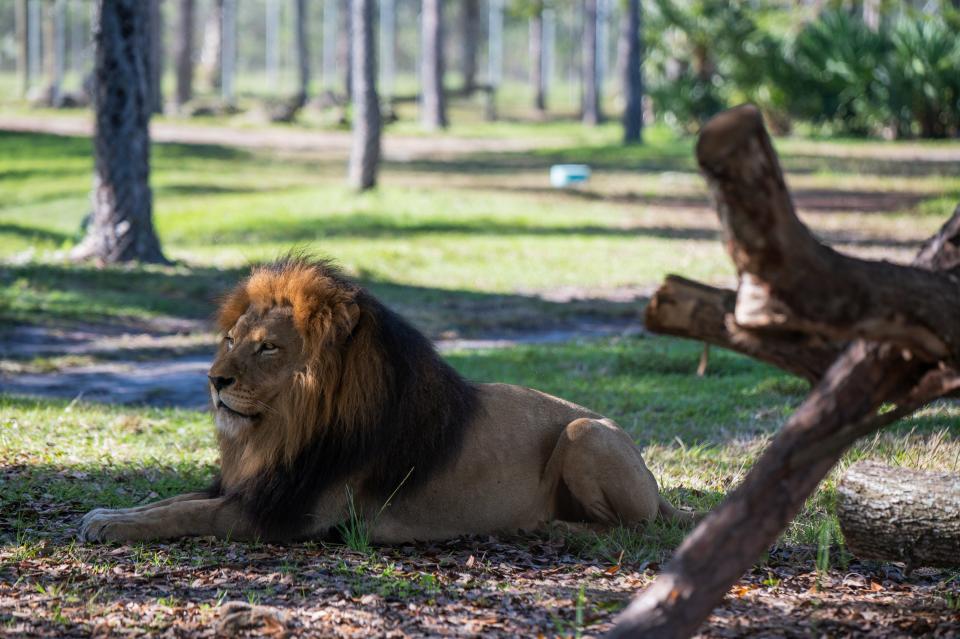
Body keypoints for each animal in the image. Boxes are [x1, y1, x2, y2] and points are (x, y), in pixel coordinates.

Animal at [80, 256, 696, 544]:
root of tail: (656, 483)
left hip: (585, 432)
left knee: (632, 527)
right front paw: (107, 514)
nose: (214, 380)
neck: (282, 430)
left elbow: (186, 512)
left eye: (268, 347)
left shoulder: (288, 514)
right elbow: (169, 500)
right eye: (231, 340)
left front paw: (111, 526)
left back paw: (552, 527)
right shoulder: (258, 484)